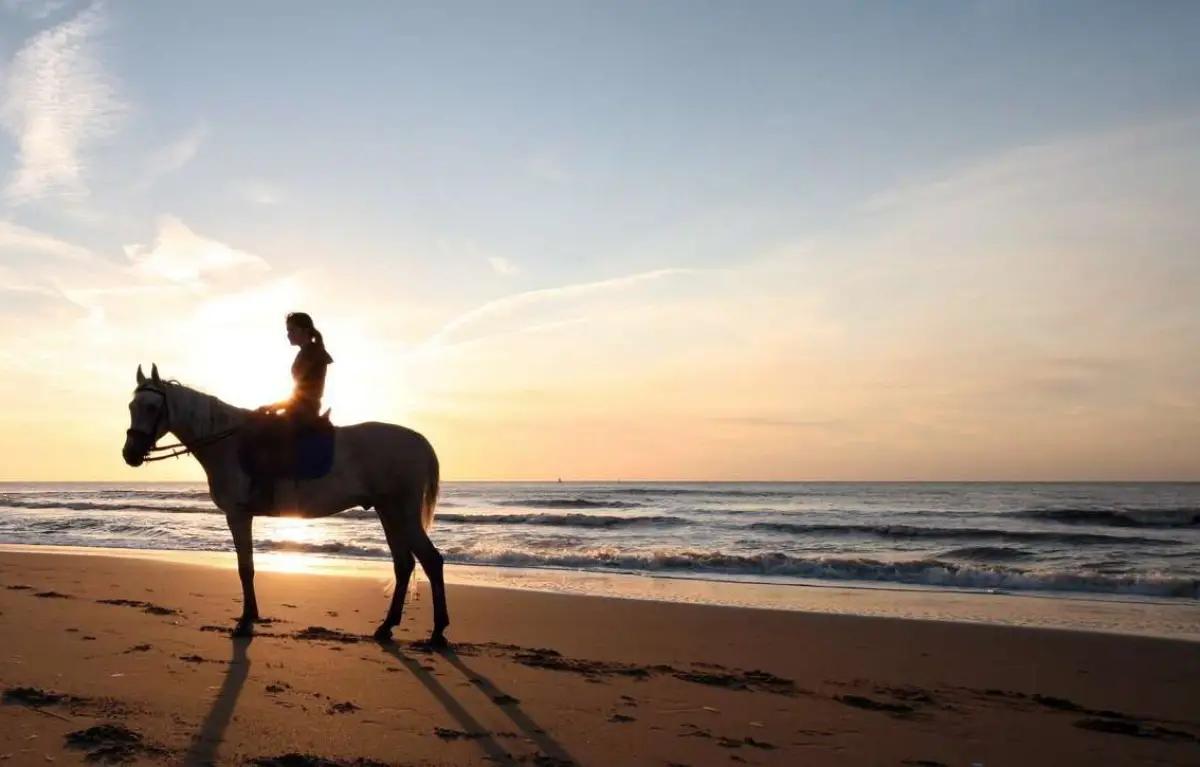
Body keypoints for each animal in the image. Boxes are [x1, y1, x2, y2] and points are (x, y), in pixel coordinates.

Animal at [121, 362, 451, 643]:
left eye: (152, 407)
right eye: (131, 406)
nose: (130, 453)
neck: (227, 443)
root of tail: (419, 441)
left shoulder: (238, 515)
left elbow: (245, 568)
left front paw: (245, 622)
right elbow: (247, 566)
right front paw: (251, 616)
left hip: (402, 512)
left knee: (431, 560)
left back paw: (437, 632)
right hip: (388, 512)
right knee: (404, 564)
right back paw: (387, 627)